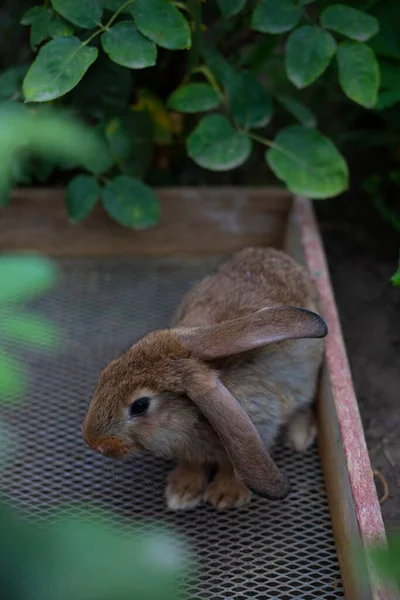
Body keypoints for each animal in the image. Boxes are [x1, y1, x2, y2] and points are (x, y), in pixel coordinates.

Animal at [83, 248, 326, 510]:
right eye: (107, 371)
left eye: (140, 406)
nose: (93, 441)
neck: (189, 416)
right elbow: (194, 464)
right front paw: (181, 493)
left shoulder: (255, 429)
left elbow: (234, 467)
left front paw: (226, 496)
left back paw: (299, 438)